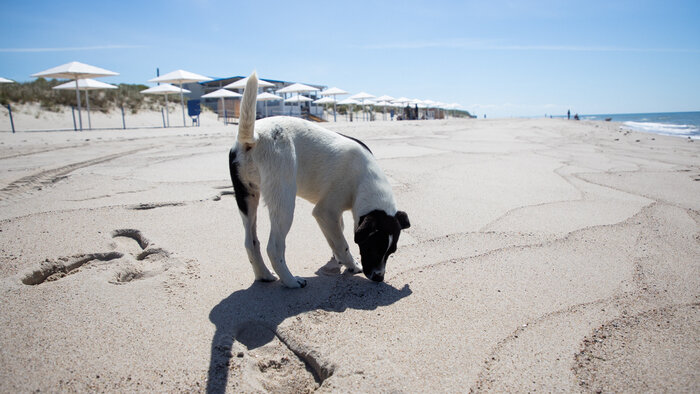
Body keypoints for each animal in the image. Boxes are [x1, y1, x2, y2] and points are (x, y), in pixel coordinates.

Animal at [228, 71, 410, 286]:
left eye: (391, 251)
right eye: (373, 247)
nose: (379, 278)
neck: (364, 178)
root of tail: (254, 138)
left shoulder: (333, 215)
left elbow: (335, 237)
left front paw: (337, 260)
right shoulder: (325, 211)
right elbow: (342, 243)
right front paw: (351, 264)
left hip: (247, 199)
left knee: (251, 242)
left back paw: (264, 274)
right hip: (284, 203)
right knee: (274, 247)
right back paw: (291, 281)